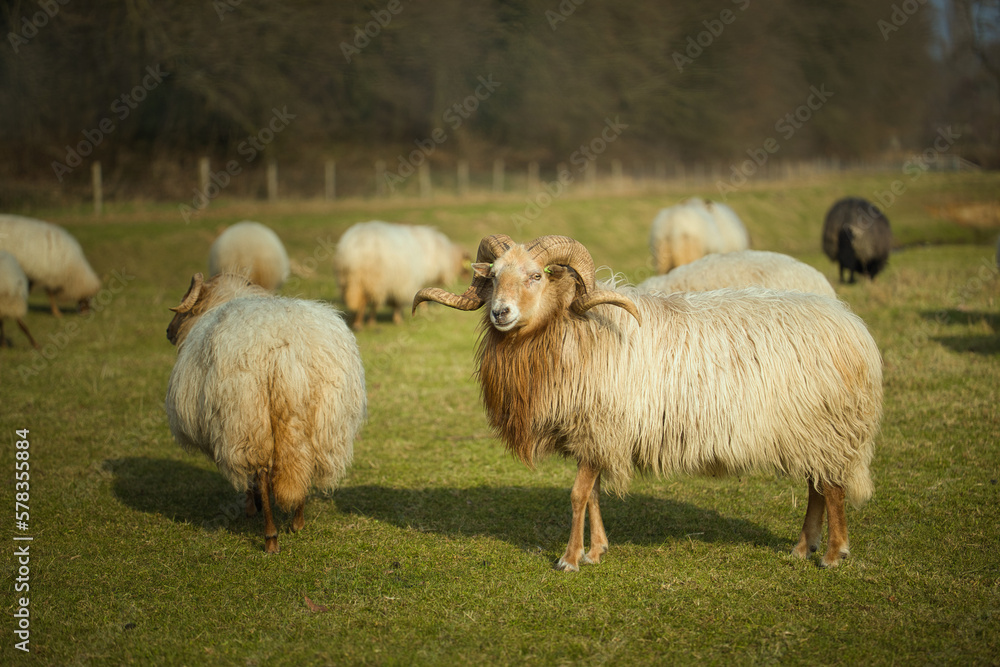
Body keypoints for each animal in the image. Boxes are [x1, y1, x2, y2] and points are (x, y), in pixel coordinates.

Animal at [165, 272, 366, 554]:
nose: (168, 332)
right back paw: (297, 523)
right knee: (305, 465)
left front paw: (252, 507)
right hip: (324, 423)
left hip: (247, 417)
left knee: (260, 473)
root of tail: (286, 354)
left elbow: (250, 480)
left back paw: (271, 536)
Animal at [335, 221, 468, 329]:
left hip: (349, 280)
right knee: (367, 301)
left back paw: (360, 321)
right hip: (374, 279)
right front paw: (400, 319)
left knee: (362, 301)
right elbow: (400, 302)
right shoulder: (404, 282)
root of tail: (356, 247)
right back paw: (362, 323)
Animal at [414, 235, 883, 571]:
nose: (501, 313)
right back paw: (803, 547)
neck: (573, 331)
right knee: (817, 486)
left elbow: (577, 494)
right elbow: (594, 494)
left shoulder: (599, 424)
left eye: (537, 276)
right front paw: (596, 551)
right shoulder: (596, 435)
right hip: (813, 431)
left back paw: (833, 554)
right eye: (493, 276)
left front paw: (569, 559)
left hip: (826, 425)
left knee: (832, 489)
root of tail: (853, 326)